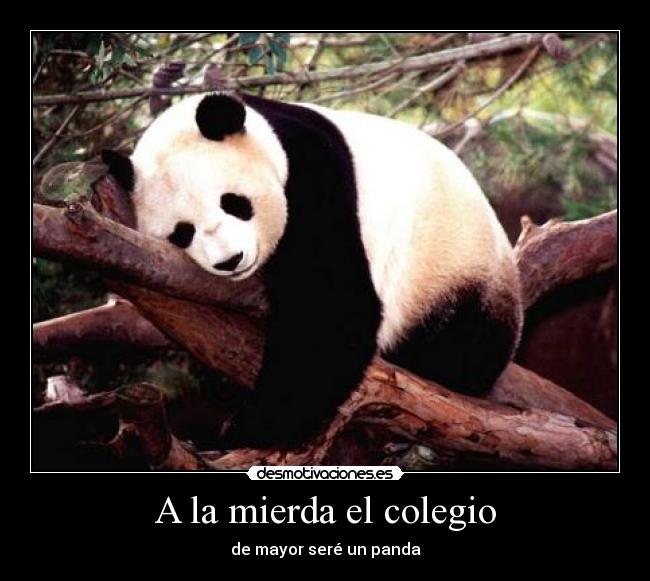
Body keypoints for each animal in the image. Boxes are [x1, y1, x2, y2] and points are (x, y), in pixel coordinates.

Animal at [103, 92, 523, 449]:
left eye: (234, 202)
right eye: (182, 232)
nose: (230, 260)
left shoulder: (314, 177)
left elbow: (330, 311)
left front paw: (248, 427)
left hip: (453, 266)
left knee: (464, 346)